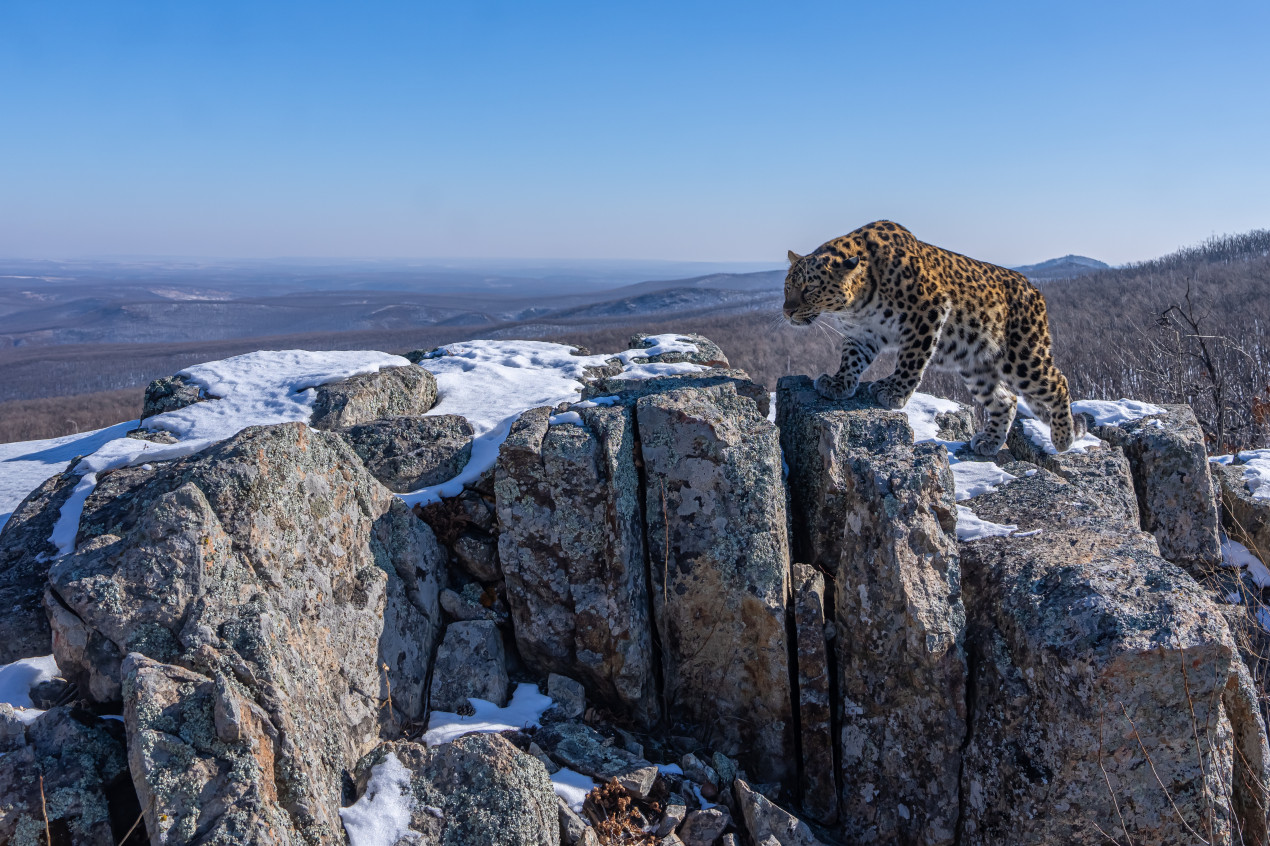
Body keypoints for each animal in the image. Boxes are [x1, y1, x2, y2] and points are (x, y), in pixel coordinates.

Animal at [782, 218, 1082, 454]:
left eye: (809, 288)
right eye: (787, 288)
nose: (787, 311)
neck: (855, 302)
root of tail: (1035, 289)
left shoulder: (929, 309)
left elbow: (911, 358)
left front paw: (893, 391)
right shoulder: (862, 332)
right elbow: (851, 359)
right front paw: (839, 382)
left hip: (1022, 357)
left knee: (1058, 382)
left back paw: (1063, 438)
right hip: (976, 364)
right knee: (1006, 400)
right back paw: (989, 441)